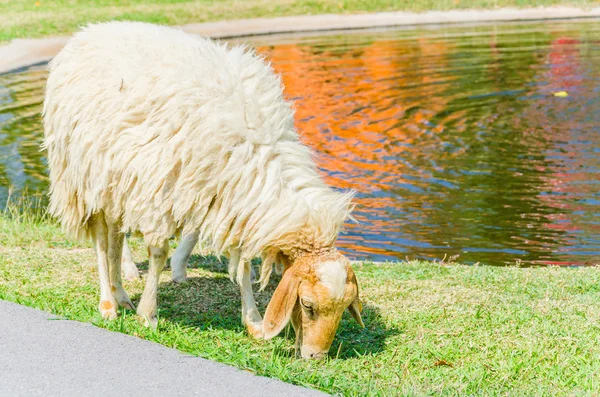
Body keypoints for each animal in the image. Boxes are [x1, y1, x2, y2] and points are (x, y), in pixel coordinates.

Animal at [43, 20, 366, 358]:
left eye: (344, 308)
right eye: (307, 305)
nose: (315, 356)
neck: (258, 150)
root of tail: (88, 32)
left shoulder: (234, 200)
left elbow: (242, 265)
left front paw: (253, 321)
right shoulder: (162, 190)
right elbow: (158, 253)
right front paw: (149, 314)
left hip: (117, 181)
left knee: (116, 238)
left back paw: (121, 294)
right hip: (83, 176)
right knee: (101, 243)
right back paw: (108, 303)